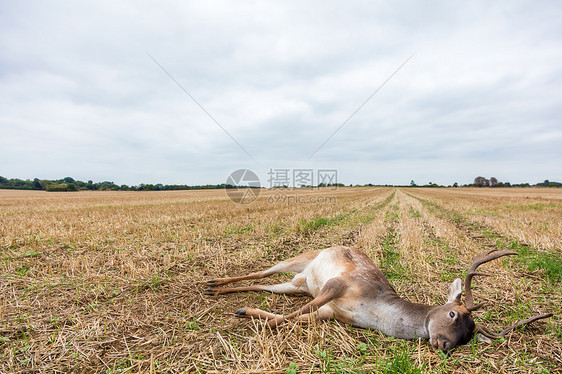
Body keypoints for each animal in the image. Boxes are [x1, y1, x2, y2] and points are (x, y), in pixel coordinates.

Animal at [203, 247, 548, 352]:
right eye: (454, 315)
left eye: (469, 335)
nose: (445, 345)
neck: (372, 311)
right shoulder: (339, 283)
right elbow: (294, 315)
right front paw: (258, 326)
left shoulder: (333, 313)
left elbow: (296, 317)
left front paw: (250, 315)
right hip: (301, 260)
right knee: (261, 272)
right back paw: (213, 282)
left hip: (296, 283)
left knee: (267, 287)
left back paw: (223, 294)